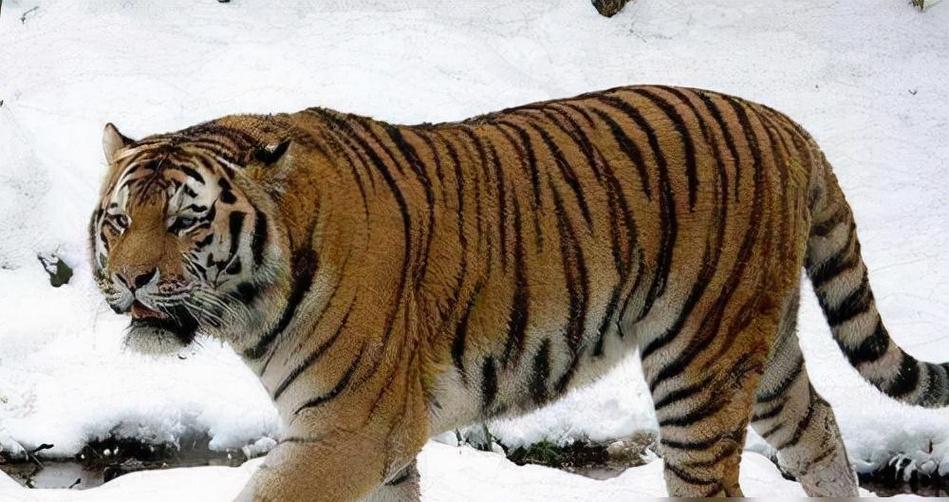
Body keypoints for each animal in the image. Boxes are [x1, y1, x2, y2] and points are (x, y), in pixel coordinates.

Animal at [89, 84, 949, 500]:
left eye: (188, 221)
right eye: (120, 219)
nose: (131, 277)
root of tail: (782, 122)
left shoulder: (347, 432)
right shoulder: (378, 445)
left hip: (699, 365)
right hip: (762, 350)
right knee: (819, 429)